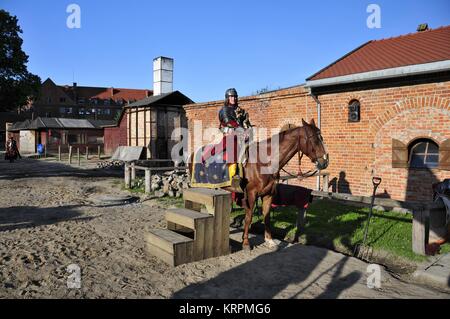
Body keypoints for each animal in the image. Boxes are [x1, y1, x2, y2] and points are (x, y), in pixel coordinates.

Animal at [188, 119, 328, 251]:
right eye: (314, 139)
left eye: (321, 137)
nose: (325, 162)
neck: (265, 162)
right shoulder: (251, 194)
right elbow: (248, 217)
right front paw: (245, 243)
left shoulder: (268, 195)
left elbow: (266, 217)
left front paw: (269, 241)